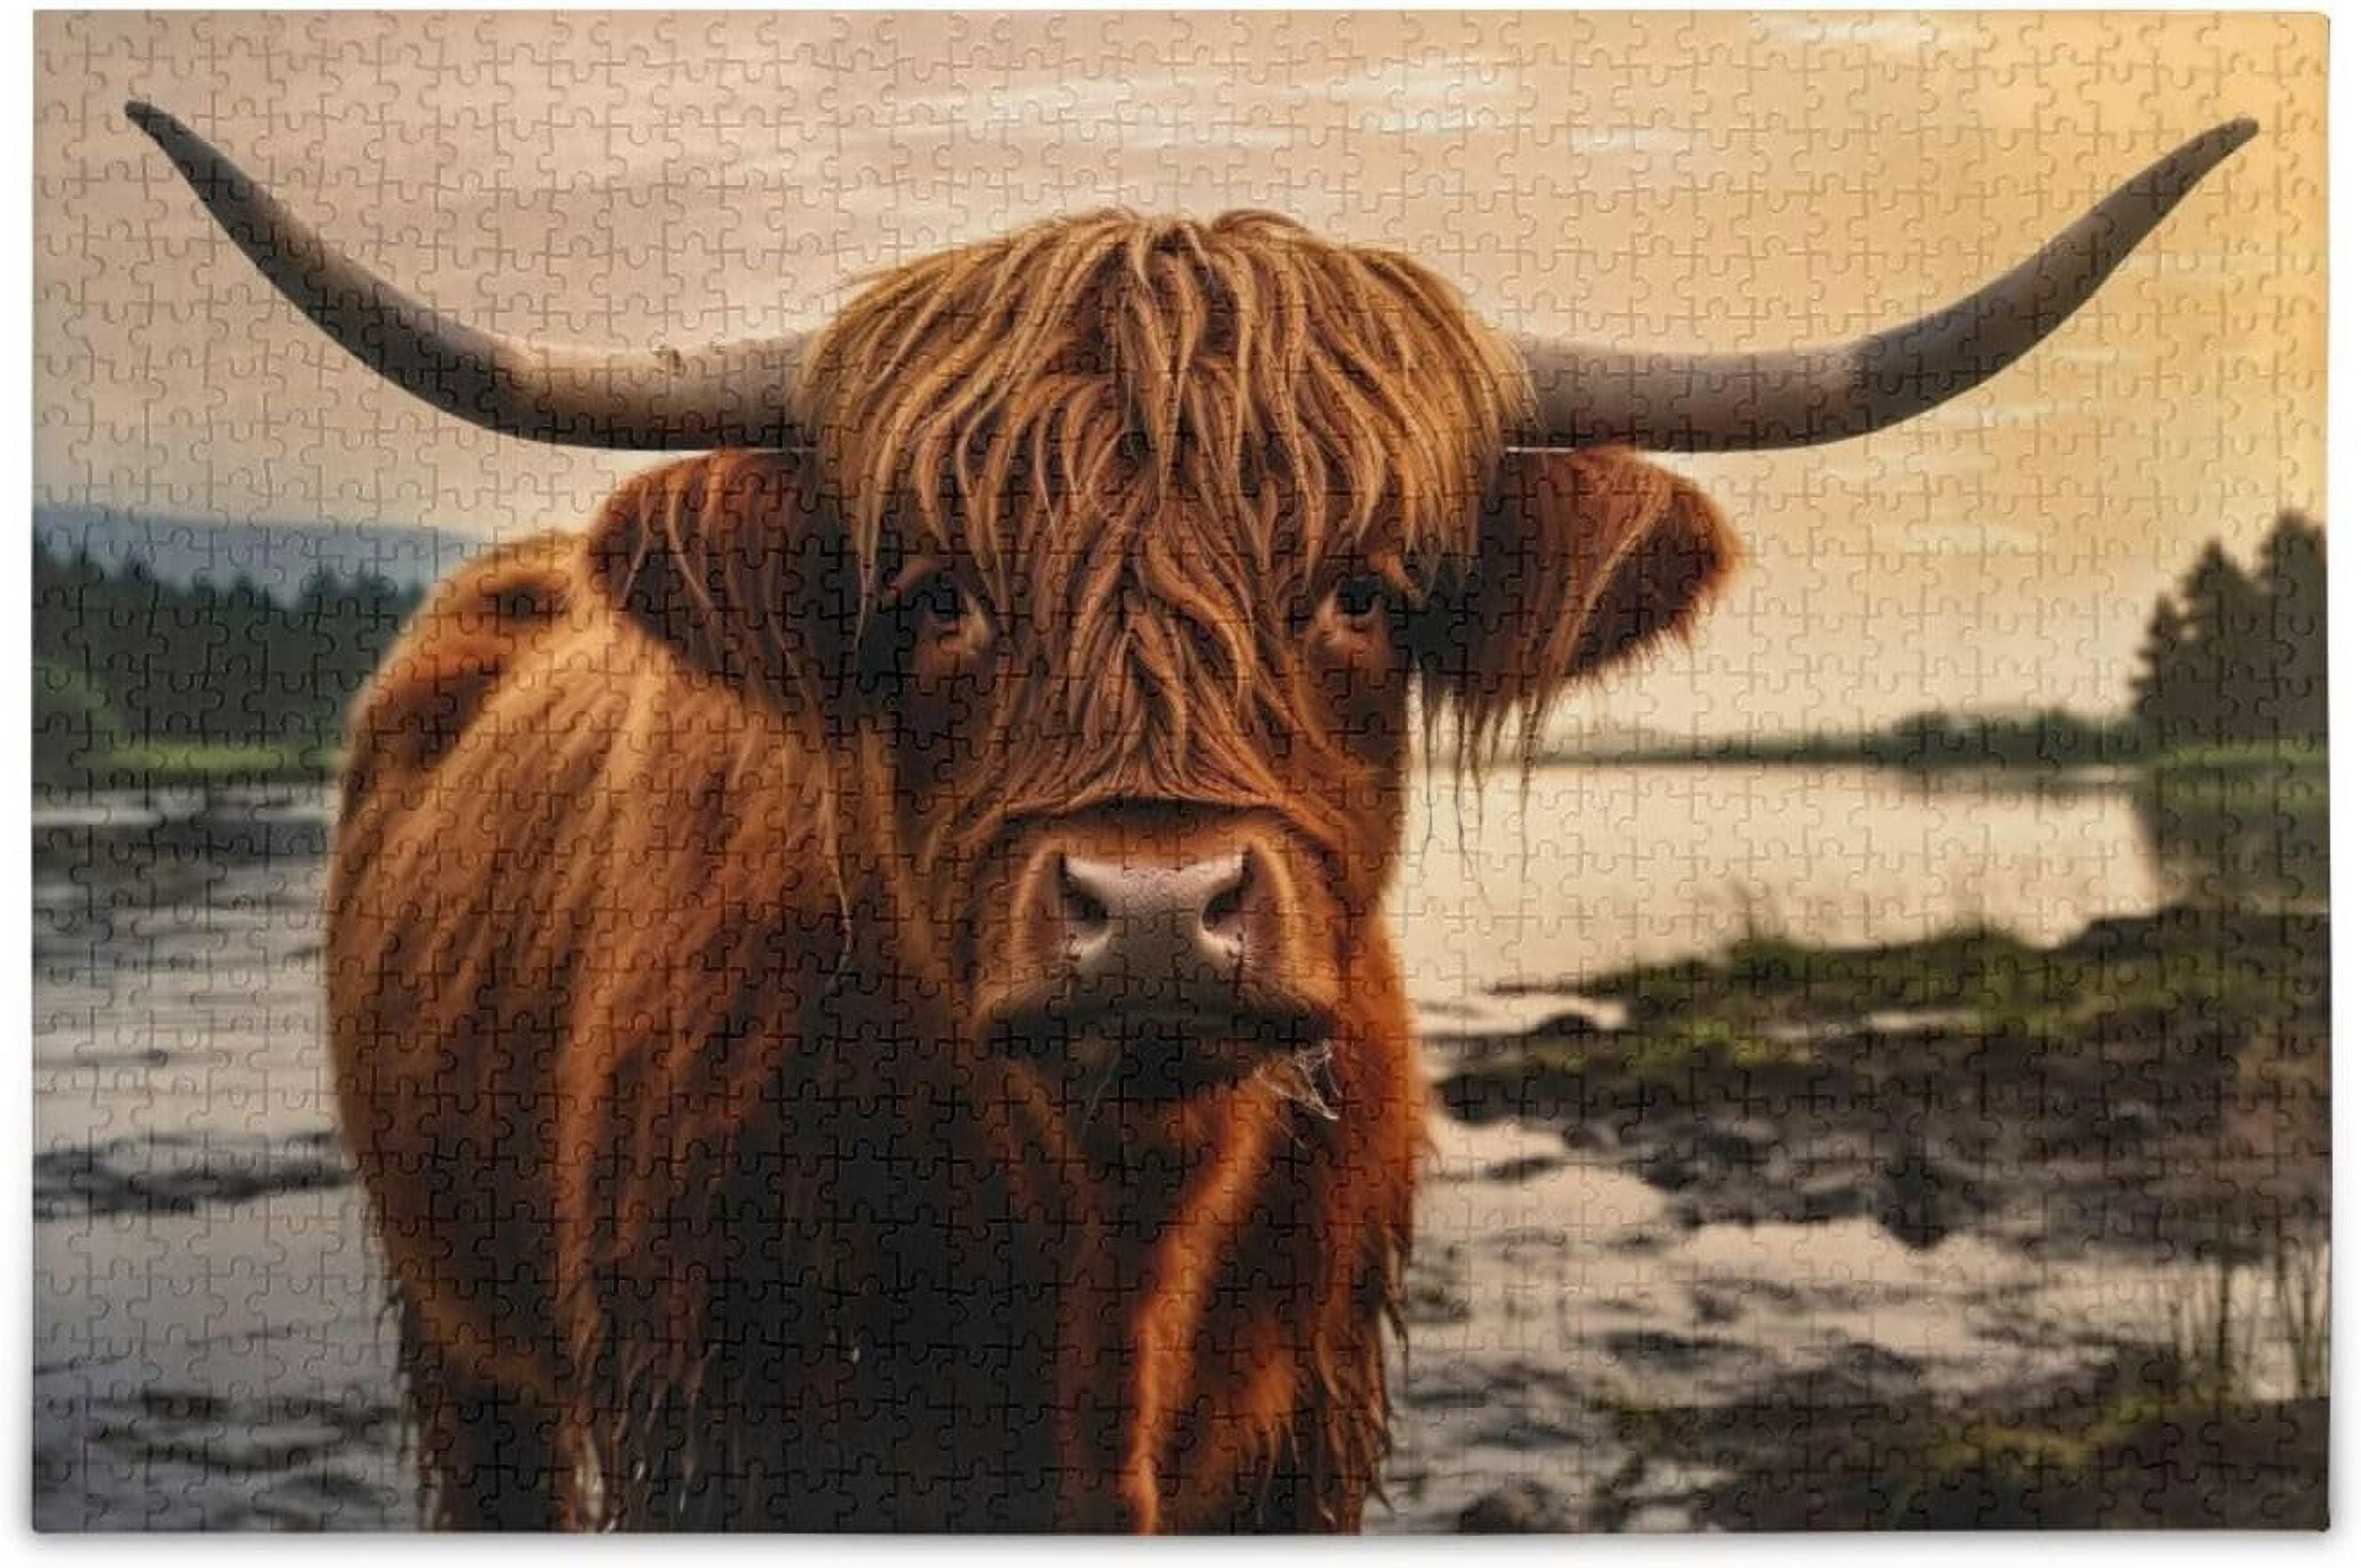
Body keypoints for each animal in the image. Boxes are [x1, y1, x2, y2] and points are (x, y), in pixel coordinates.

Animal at [128, 102, 2253, 1531]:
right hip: (464, 1339)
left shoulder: (1305, 1436)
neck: (1105, 1250)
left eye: (1367, 593)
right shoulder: (712, 1429)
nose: (1153, 911)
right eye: (932, 596)